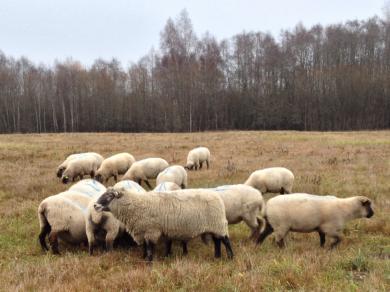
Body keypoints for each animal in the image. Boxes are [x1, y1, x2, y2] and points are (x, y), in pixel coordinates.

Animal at [93, 188, 235, 262]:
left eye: (109, 196)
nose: (95, 205)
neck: (136, 205)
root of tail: (217, 196)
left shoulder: (151, 230)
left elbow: (150, 247)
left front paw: (149, 261)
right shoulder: (143, 230)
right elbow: (145, 246)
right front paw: (143, 258)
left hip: (218, 224)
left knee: (225, 240)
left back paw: (230, 257)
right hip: (214, 226)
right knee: (217, 241)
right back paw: (217, 257)